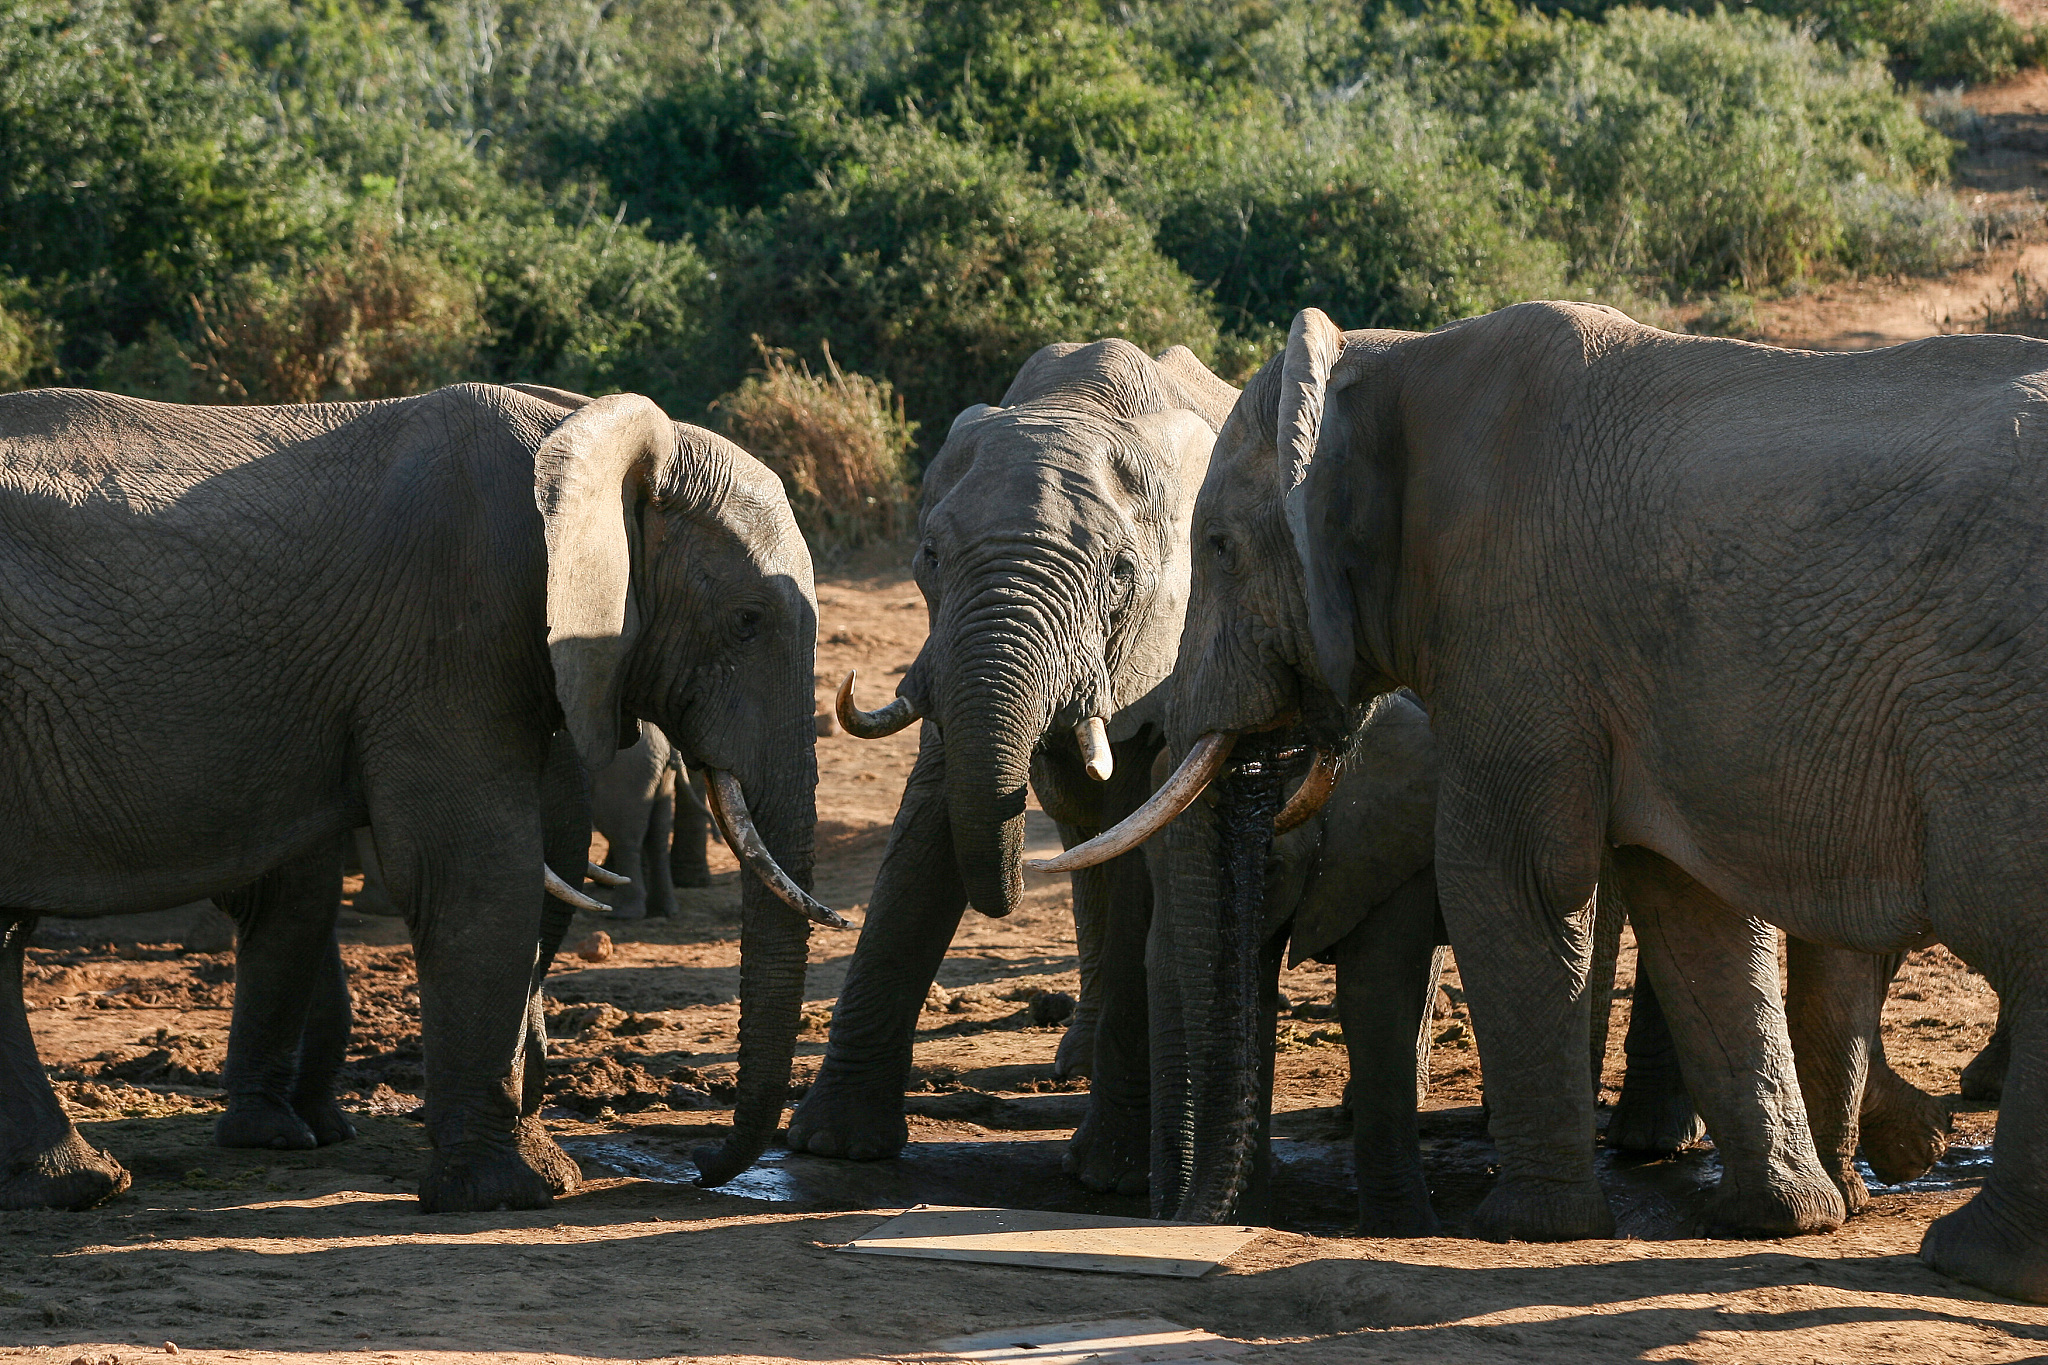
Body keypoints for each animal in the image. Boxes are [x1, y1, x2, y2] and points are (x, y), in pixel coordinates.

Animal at [0, 380, 835, 1212]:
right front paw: (513, 1192)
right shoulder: (450, 627)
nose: (703, 1163)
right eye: (747, 622)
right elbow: (474, 871)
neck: (583, 429)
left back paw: (76, 1182)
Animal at [784, 339, 1238, 1192]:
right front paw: (832, 1144)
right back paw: (1074, 1061)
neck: (1082, 404)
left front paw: (1114, 1177)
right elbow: (927, 826)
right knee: (1084, 836)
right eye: (928, 556)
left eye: (1122, 573)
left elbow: (1142, 839)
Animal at [1072, 302, 2048, 1301]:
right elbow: (1692, 912)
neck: (1394, 364)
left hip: (1996, 708)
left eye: (1220, 548)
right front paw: (1779, 1218)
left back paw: (1972, 1256)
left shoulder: (1512, 623)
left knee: (2016, 928)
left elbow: (1508, 878)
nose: (1177, 1222)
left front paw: (1527, 1226)